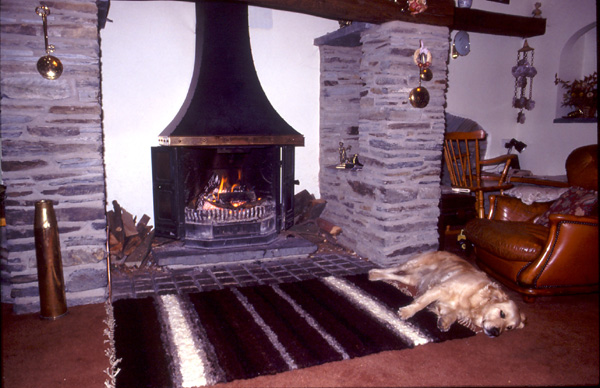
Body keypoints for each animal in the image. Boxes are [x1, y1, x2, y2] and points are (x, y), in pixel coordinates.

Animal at [368, 252, 528, 336]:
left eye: (509, 328)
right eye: (502, 314)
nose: (495, 333)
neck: (474, 302)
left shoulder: (448, 305)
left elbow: (451, 315)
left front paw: (444, 322)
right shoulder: (442, 288)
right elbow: (421, 303)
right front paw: (408, 311)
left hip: (411, 278)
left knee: (395, 276)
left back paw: (375, 276)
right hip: (413, 265)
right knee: (392, 269)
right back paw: (373, 272)